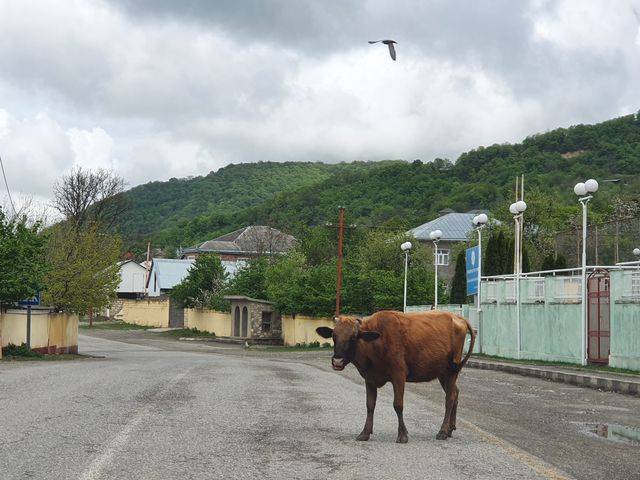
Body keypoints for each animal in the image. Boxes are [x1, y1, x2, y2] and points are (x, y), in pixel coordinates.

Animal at [316, 312, 472, 442]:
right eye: (334, 336)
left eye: (353, 337)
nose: (337, 361)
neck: (377, 342)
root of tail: (457, 317)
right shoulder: (369, 378)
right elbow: (370, 405)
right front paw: (365, 433)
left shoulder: (399, 374)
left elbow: (398, 404)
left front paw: (402, 435)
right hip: (443, 373)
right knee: (455, 393)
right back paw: (450, 429)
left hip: (452, 370)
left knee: (450, 397)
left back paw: (443, 431)